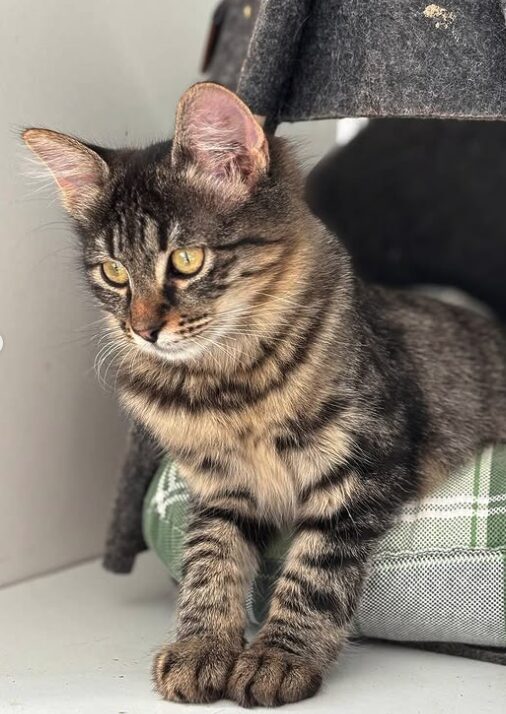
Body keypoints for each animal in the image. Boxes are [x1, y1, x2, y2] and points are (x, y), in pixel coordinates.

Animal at [24, 82, 506, 700]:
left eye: (186, 261)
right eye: (113, 273)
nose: (142, 329)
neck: (226, 387)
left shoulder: (364, 467)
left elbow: (313, 574)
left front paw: (278, 657)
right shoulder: (220, 490)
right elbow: (210, 563)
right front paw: (202, 647)